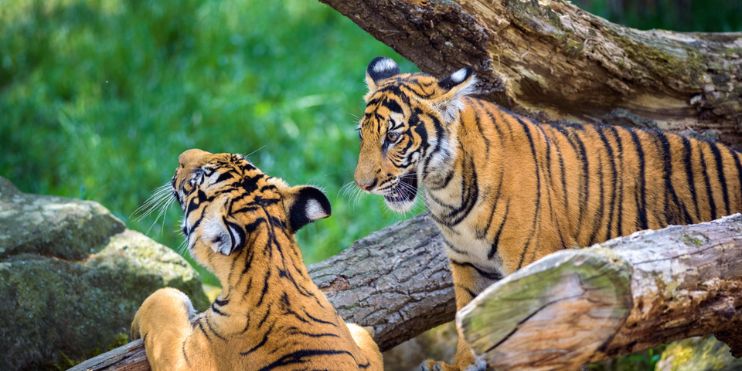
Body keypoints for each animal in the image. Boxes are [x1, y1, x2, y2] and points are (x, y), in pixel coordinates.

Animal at [354, 56, 742, 370]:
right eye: (363, 136)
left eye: (393, 137)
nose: (362, 184)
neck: (444, 191)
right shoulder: (469, 264)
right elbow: (466, 317)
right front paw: (458, 364)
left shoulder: (531, 262)